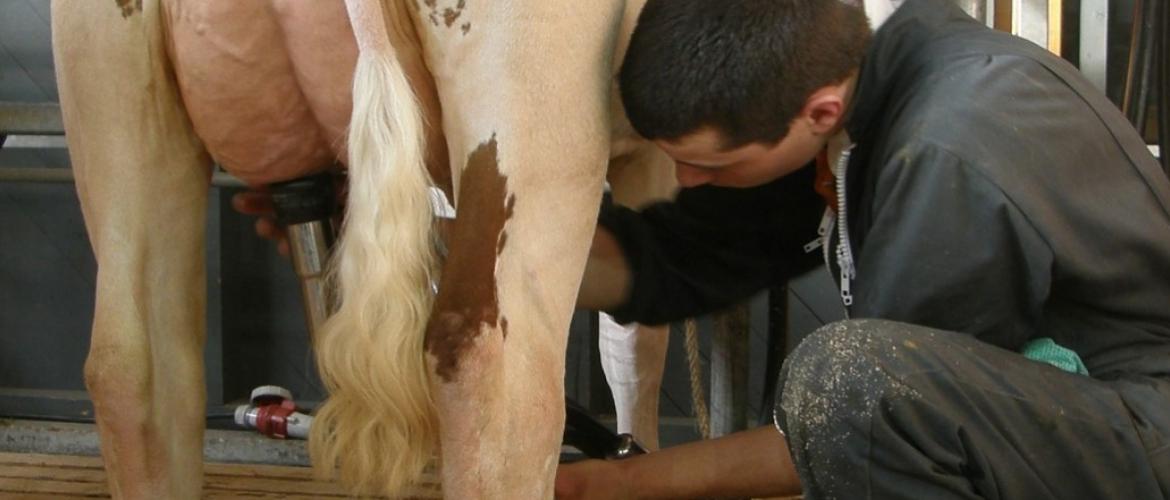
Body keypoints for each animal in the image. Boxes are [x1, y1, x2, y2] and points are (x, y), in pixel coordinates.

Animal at [50, 1, 673, 498]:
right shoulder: (652, 157)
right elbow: (637, 342)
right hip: (531, 113)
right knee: (495, 386)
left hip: (112, 90)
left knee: (136, 370)